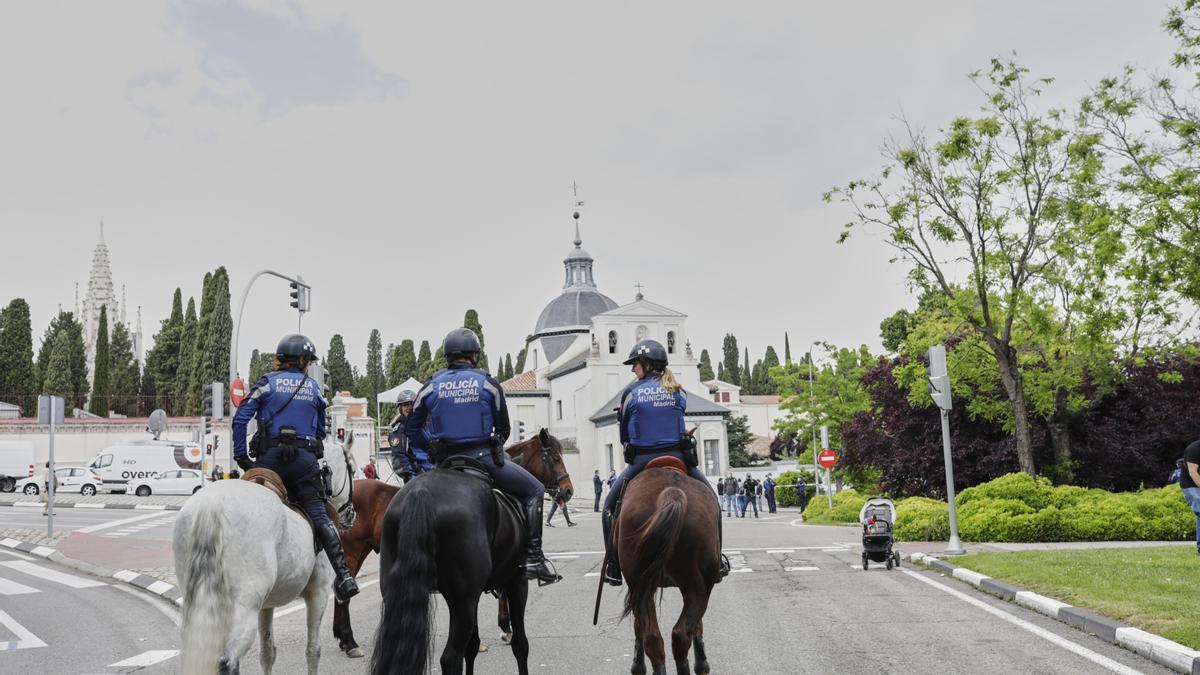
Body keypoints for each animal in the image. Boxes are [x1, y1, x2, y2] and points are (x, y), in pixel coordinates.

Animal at [172, 441, 355, 672]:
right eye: (353, 469)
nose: (351, 514)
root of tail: (212, 505)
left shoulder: (266, 605)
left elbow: (268, 653)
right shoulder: (319, 593)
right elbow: (313, 650)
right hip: (244, 608)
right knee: (228, 661)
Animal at [328, 427, 571, 653]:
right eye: (556, 457)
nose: (568, 491)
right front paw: (504, 628)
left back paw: (343, 637)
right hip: (352, 552)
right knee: (343, 593)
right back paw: (349, 641)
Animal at [619, 454, 720, 672]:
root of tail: (672, 493)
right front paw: (702, 663)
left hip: (645, 585)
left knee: (655, 637)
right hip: (697, 586)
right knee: (679, 635)